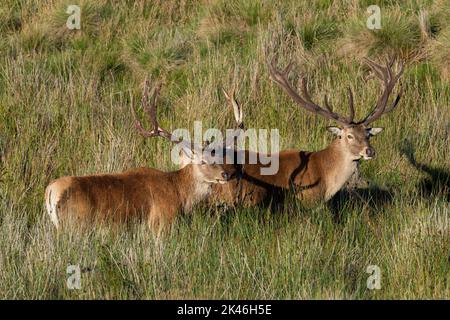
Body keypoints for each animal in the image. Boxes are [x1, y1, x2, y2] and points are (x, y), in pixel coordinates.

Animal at [44, 79, 237, 230]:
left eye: (219, 157)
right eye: (203, 161)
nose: (225, 174)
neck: (179, 193)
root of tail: (51, 191)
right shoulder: (160, 222)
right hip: (75, 224)